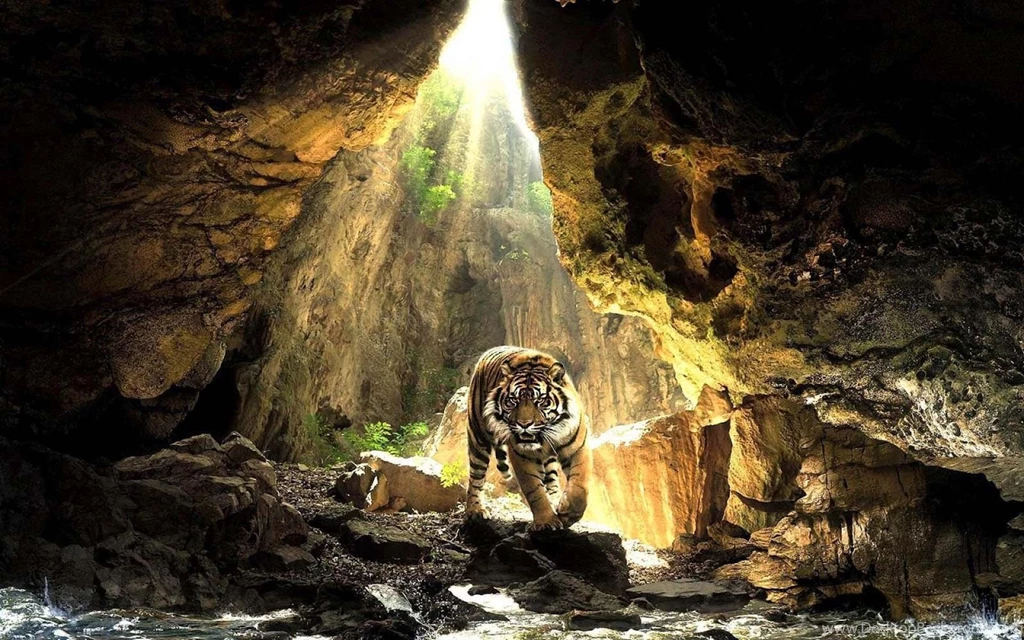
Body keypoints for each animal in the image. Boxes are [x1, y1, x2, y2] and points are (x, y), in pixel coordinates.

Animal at [465, 345, 591, 530]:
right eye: (513, 401)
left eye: (541, 401)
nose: (524, 424)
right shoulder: (523, 456)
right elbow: (534, 490)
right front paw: (546, 521)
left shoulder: (578, 447)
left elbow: (580, 483)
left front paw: (568, 513)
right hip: (478, 438)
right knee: (476, 477)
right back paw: (475, 510)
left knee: (551, 478)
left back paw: (555, 499)